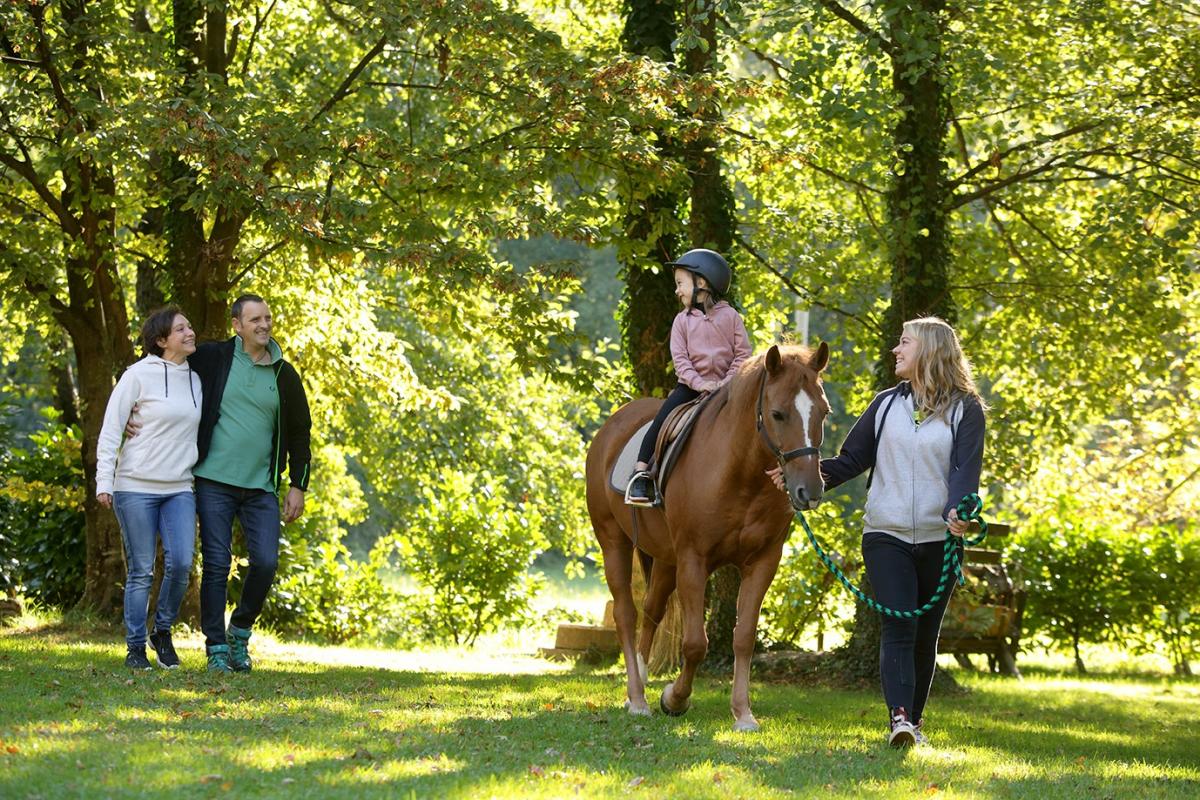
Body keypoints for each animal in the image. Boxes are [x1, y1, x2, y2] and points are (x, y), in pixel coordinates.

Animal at [585, 345, 830, 734]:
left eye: (824, 412)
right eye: (777, 413)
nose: (810, 490)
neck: (740, 472)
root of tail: (612, 427)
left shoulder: (763, 562)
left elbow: (744, 637)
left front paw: (743, 713)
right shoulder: (693, 560)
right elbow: (695, 643)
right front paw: (674, 699)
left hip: (664, 559)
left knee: (651, 611)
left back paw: (639, 682)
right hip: (614, 543)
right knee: (626, 613)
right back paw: (638, 699)